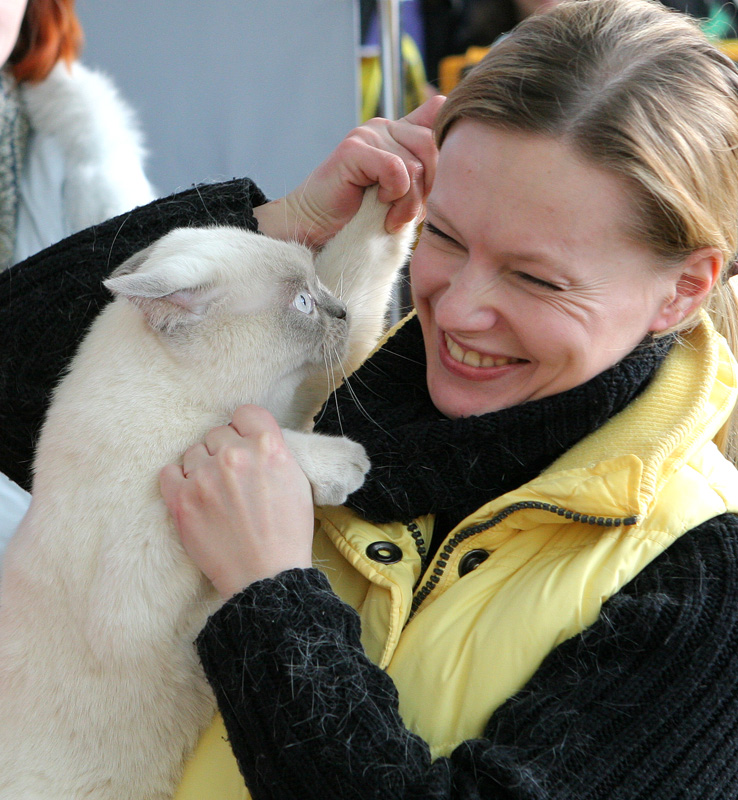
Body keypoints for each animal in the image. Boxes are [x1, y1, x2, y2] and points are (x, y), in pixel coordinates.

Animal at [0, 189, 414, 800]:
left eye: (319, 287)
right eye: (303, 304)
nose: (337, 312)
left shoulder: (297, 397)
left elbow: (365, 255)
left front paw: (402, 183)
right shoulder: (136, 594)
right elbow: (245, 445)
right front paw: (347, 465)